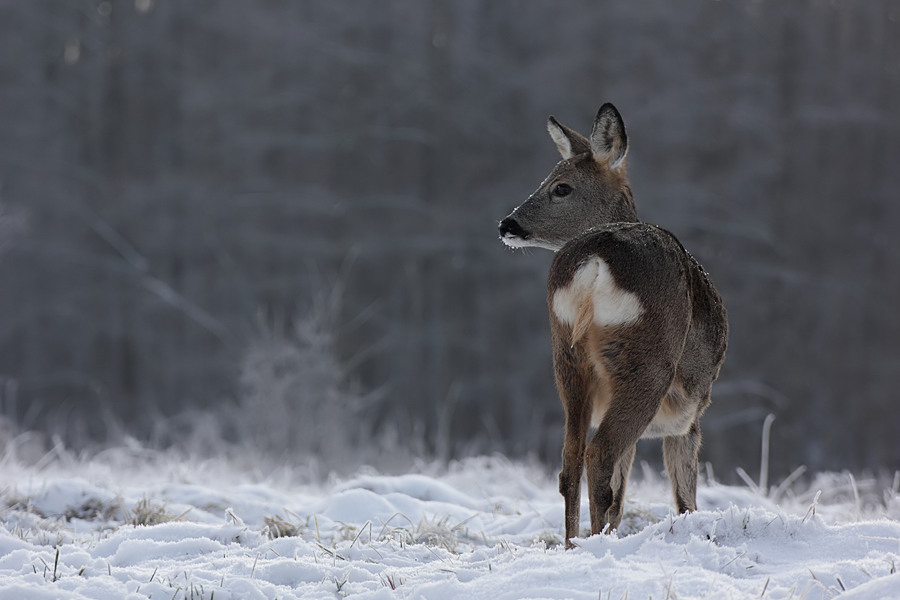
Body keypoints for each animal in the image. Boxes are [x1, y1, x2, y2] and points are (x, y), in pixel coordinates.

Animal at [496, 104, 728, 548]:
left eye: (560, 187)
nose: (506, 224)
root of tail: (593, 257)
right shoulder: (688, 419)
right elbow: (684, 495)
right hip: (645, 361)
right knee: (599, 454)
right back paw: (598, 542)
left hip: (565, 353)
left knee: (571, 457)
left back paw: (574, 544)